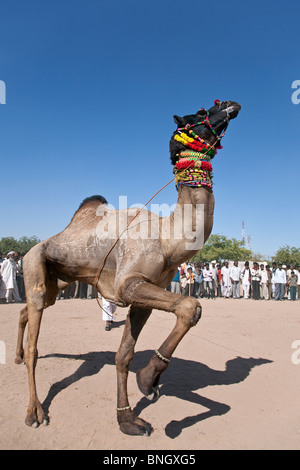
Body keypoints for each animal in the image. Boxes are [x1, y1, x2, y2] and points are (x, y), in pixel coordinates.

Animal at [16, 100, 241, 436]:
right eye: (200, 114)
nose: (229, 104)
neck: (166, 237)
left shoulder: (144, 295)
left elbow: (124, 355)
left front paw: (128, 418)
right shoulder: (129, 283)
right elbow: (190, 306)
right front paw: (148, 380)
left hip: (60, 280)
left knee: (26, 311)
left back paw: (16, 356)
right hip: (33, 265)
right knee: (35, 339)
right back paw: (34, 410)